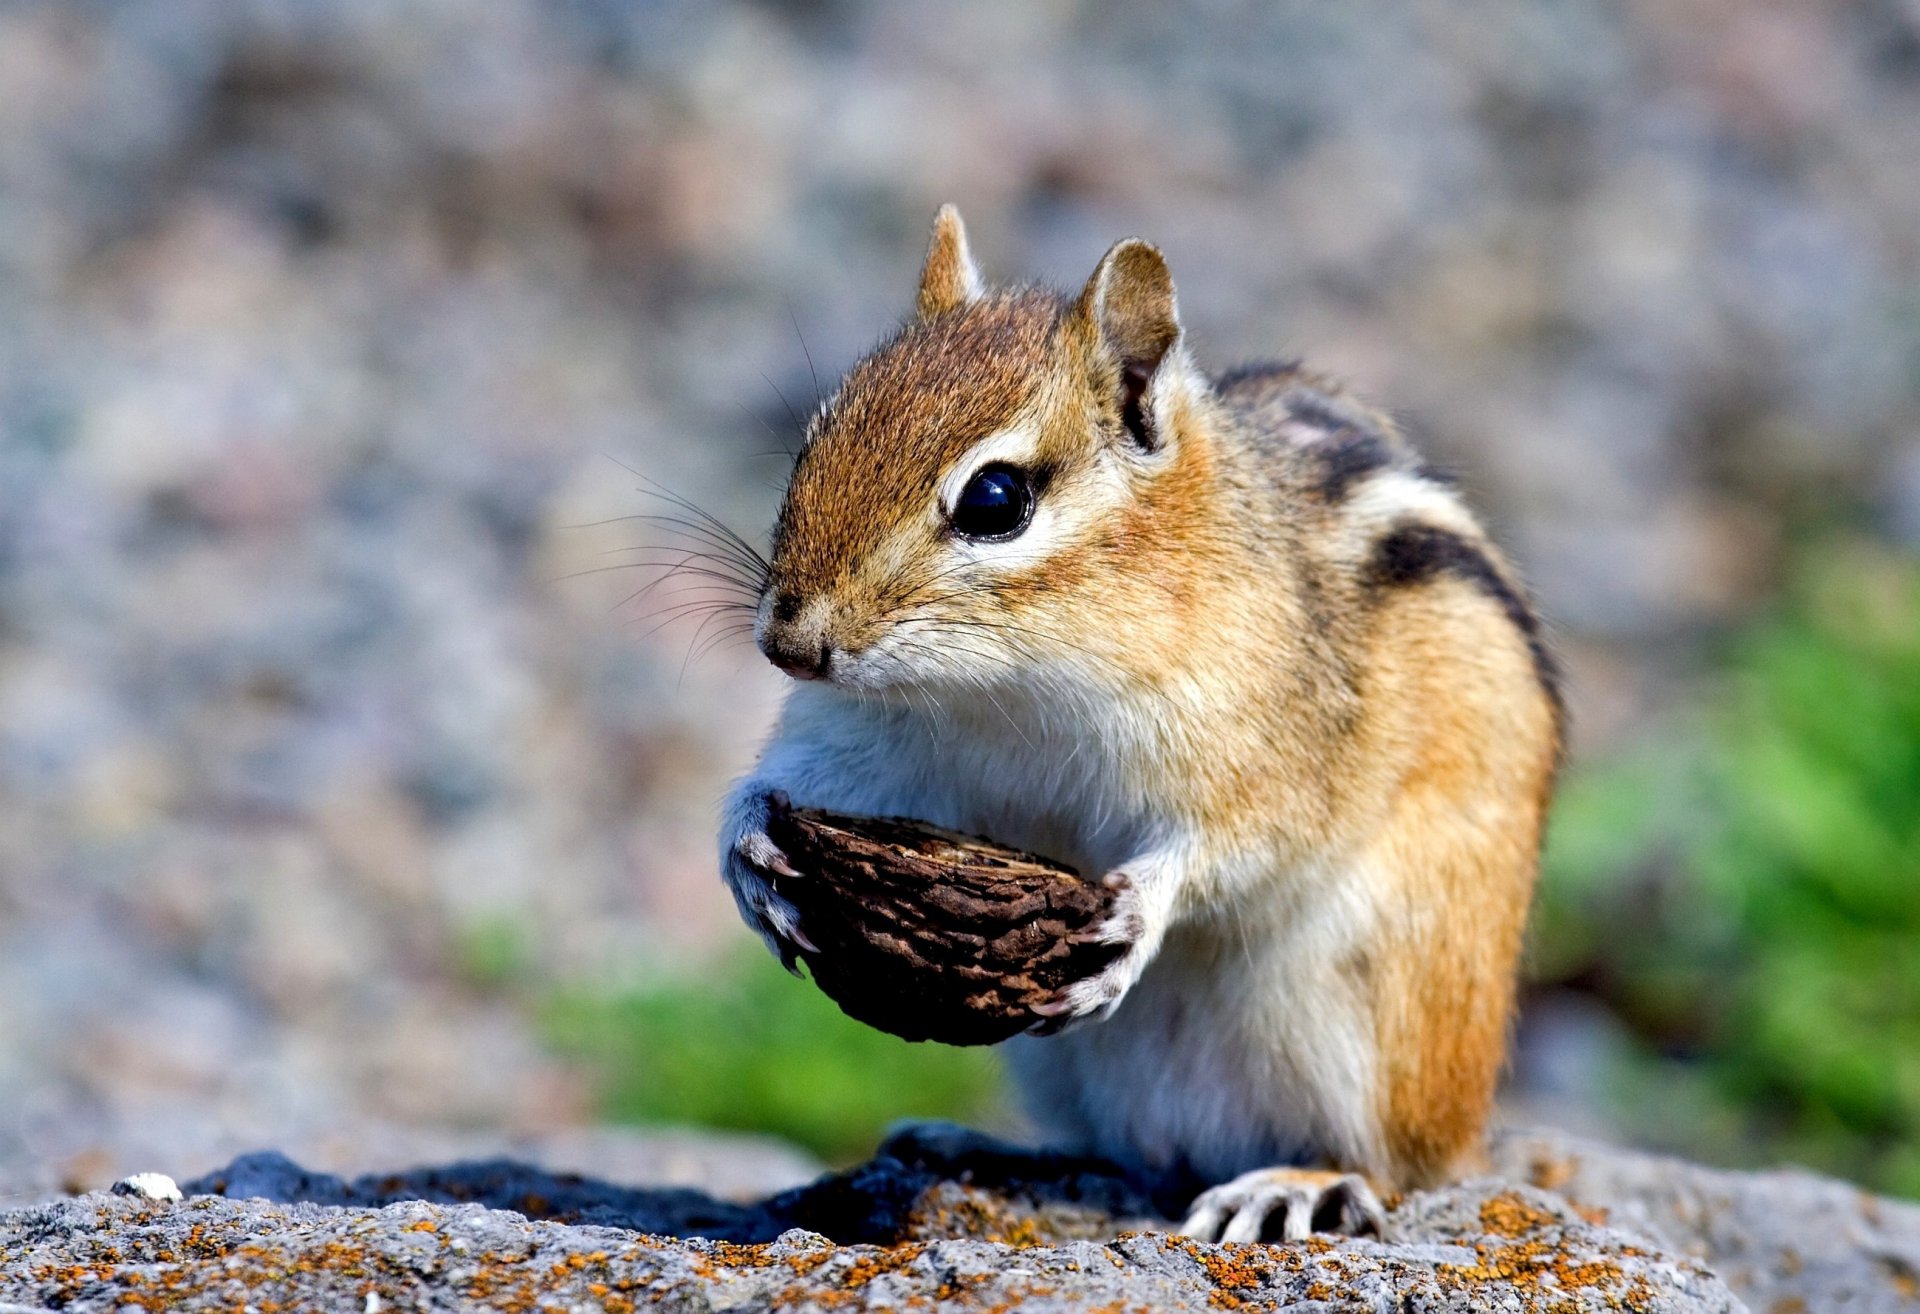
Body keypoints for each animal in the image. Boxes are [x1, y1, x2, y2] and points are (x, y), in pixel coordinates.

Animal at [718, 205, 1563, 1242]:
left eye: (995, 500)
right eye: (815, 436)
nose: (788, 644)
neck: (1007, 688)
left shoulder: (1267, 744)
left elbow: (1240, 843)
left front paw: (1139, 913)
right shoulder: (865, 742)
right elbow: (786, 781)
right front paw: (749, 849)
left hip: (1372, 1020)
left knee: (1401, 1169)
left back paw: (1297, 1183)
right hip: (1053, 1059)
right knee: (1118, 1155)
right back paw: (982, 1147)